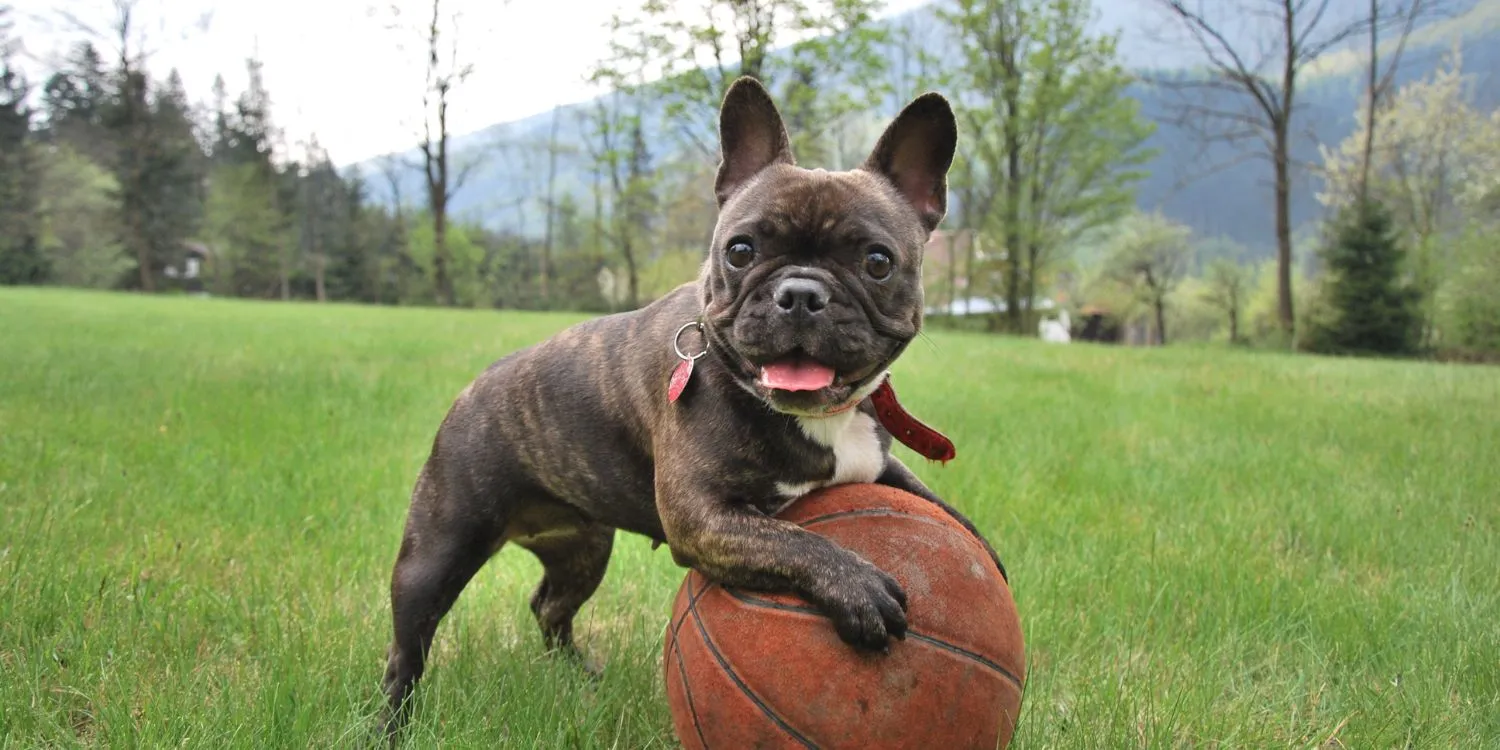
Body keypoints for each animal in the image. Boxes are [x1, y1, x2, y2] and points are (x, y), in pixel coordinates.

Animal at [381, 76, 1002, 732]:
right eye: (740, 250)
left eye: (877, 261)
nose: (800, 292)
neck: (816, 416)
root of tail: (473, 389)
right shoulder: (704, 518)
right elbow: (793, 540)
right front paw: (858, 587)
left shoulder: (877, 463)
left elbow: (933, 502)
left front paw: (982, 550)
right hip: (438, 551)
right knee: (408, 648)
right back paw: (394, 724)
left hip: (583, 548)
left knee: (550, 607)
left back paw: (580, 677)